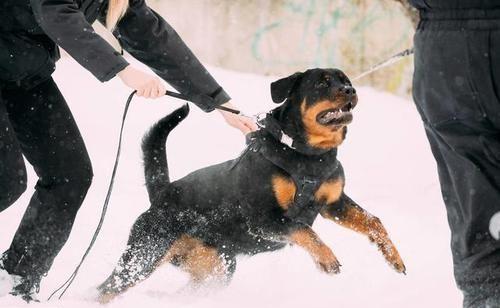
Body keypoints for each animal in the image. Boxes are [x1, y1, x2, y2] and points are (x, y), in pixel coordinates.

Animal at [96, 68, 406, 302]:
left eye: (346, 80)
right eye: (322, 82)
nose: (350, 91)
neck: (309, 155)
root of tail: (163, 192)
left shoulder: (334, 204)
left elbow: (373, 221)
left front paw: (394, 258)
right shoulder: (263, 218)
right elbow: (303, 229)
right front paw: (326, 258)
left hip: (217, 269)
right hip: (146, 253)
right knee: (105, 288)